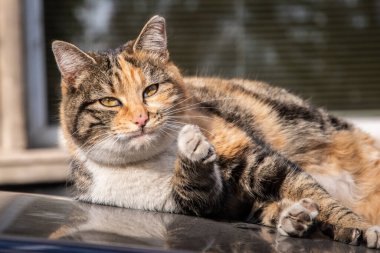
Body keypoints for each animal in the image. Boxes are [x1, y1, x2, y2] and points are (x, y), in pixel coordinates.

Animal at [52, 14, 380, 248]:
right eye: (109, 101)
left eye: (151, 90)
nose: (142, 119)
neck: (150, 162)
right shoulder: (198, 204)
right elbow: (200, 190)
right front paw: (192, 152)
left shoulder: (253, 156)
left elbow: (310, 189)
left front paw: (358, 226)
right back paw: (295, 218)